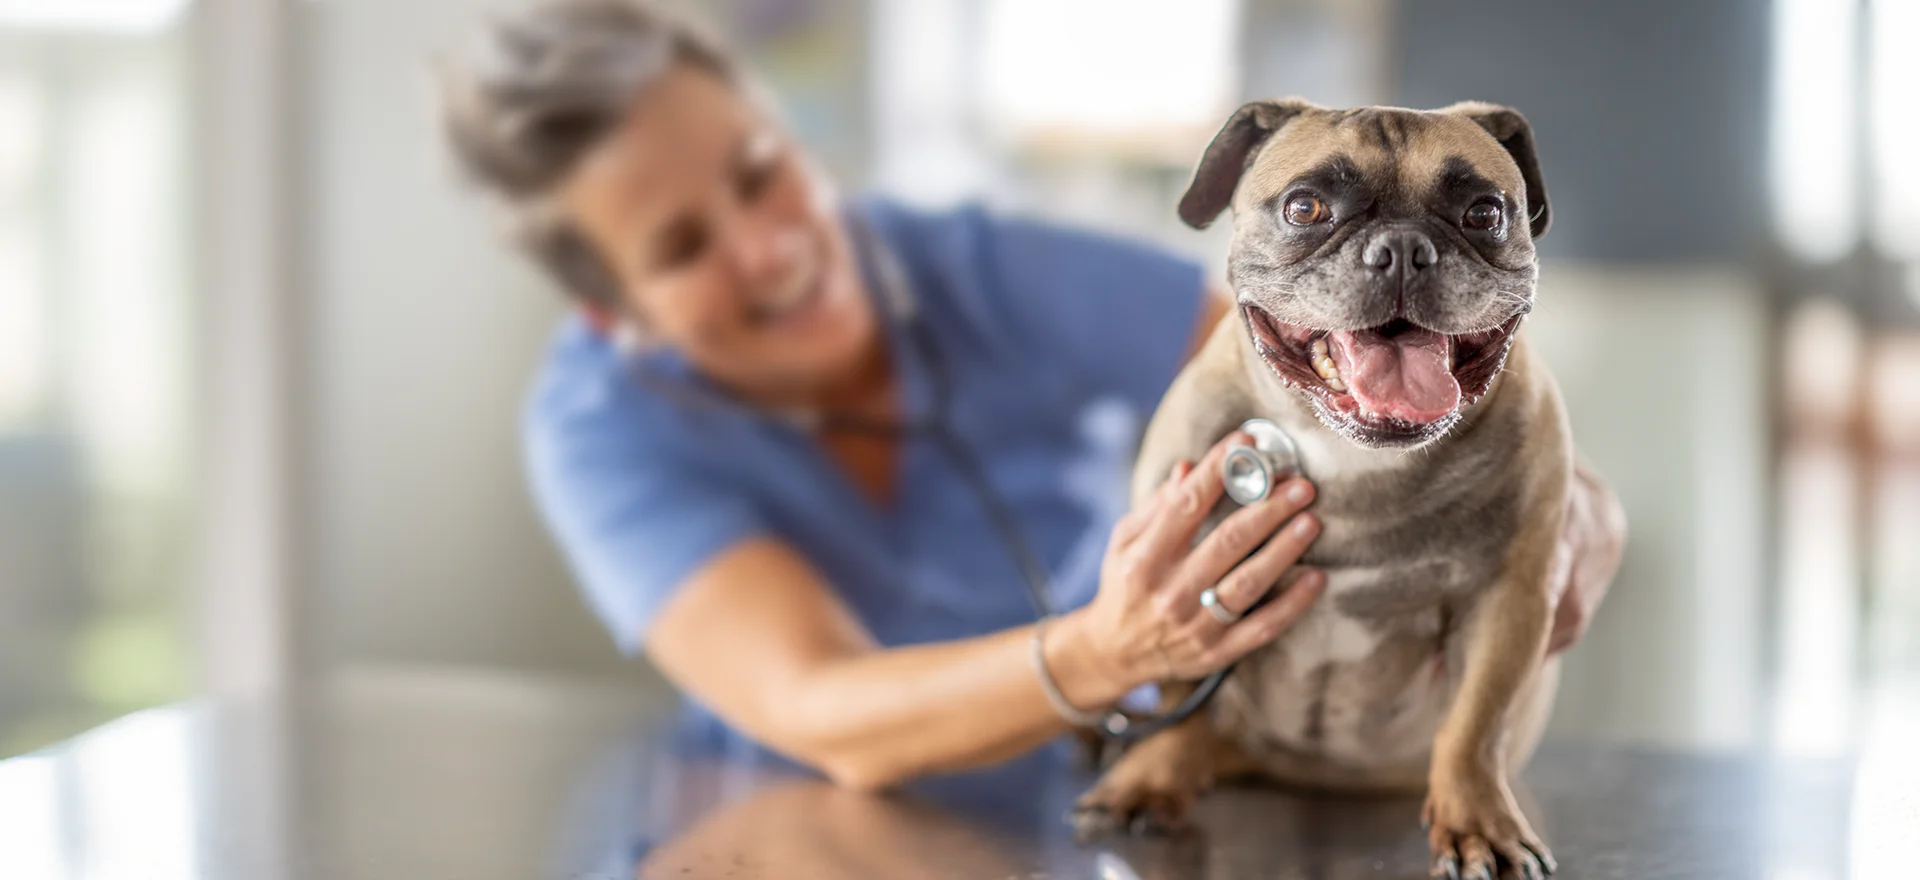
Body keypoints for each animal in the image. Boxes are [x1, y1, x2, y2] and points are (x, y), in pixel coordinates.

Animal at [1075, 96, 1566, 880]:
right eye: (1304, 207)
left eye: (1485, 213)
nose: (1403, 248)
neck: (1347, 455)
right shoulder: (1182, 577)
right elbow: (1186, 690)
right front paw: (1150, 783)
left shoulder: (1509, 600)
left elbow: (1475, 725)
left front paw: (1478, 822)